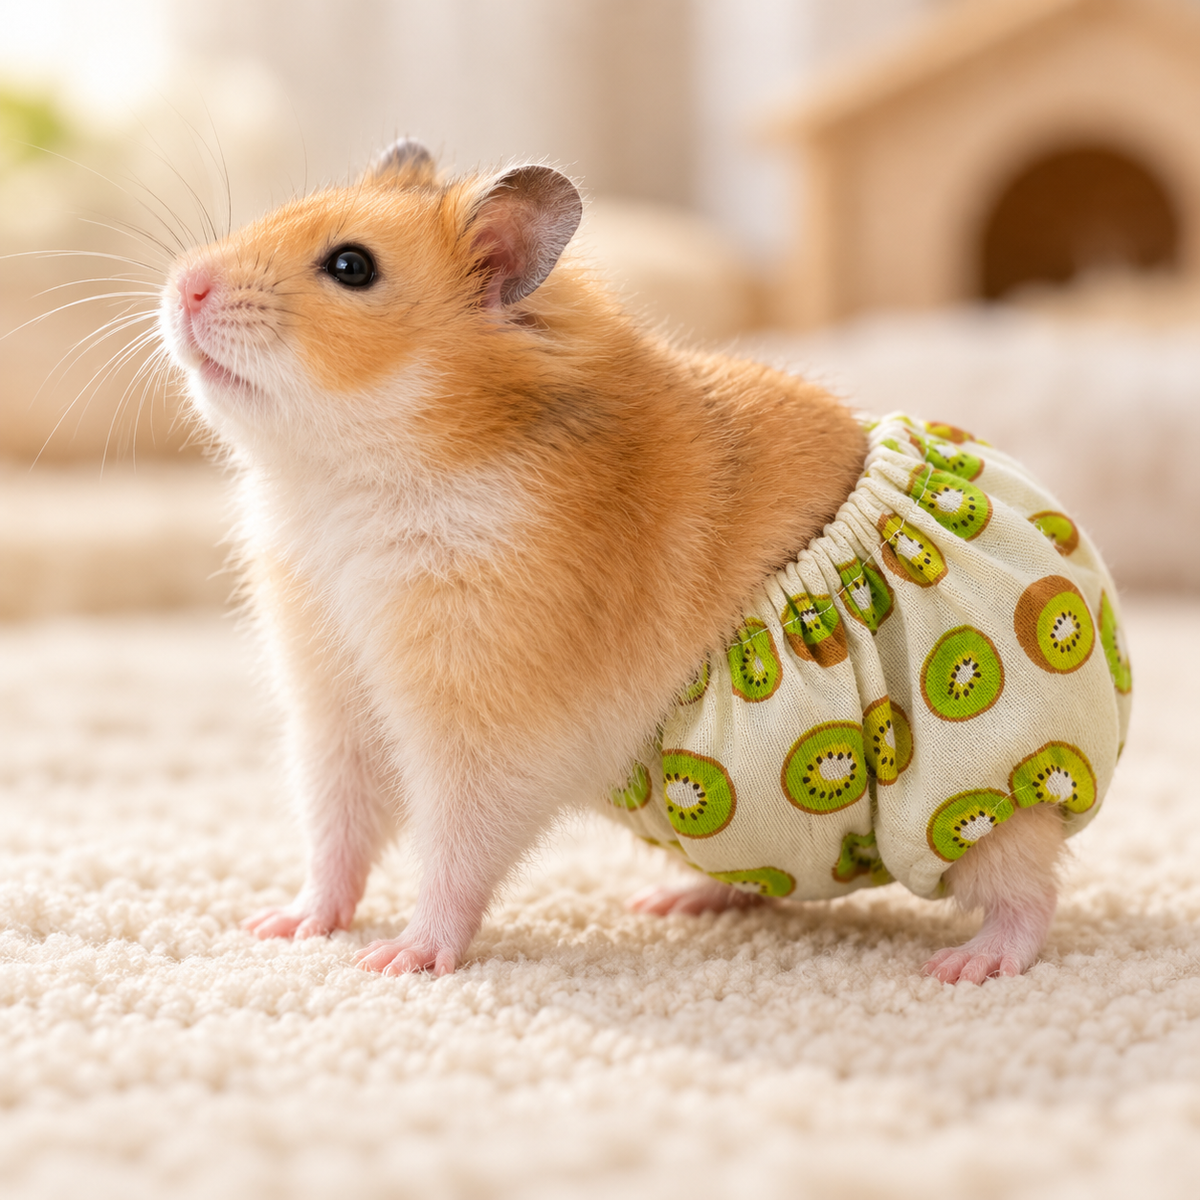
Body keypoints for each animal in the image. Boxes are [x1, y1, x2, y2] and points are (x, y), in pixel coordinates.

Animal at [158, 139, 1066, 983]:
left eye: (351, 266)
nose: (182, 285)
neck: (350, 482)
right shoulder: (333, 700)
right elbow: (335, 830)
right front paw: (284, 926)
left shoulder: (487, 721)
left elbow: (456, 846)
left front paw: (402, 958)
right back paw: (673, 901)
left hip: (978, 796)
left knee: (1027, 885)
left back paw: (971, 965)